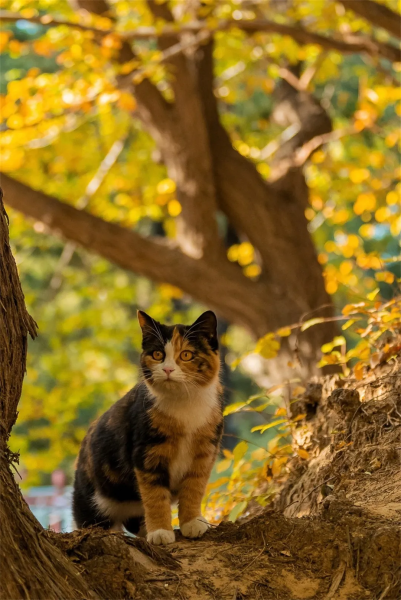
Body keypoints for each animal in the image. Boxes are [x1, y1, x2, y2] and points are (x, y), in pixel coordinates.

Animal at [72, 310, 222, 544]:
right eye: (158, 354)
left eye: (186, 355)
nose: (168, 369)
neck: (184, 409)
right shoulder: (147, 453)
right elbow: (154, 495)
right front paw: (160, 531)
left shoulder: (205, 452)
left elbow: (194, 488)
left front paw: (192, 522)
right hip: (91, 500)